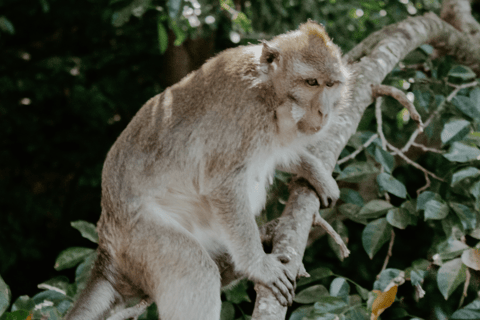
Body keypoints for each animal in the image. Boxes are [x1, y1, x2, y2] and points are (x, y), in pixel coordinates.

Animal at [64, 20, 348, 320]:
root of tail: (106, 247)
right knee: (195, 270)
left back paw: (264, 236)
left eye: (331, 84)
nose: (324, 112)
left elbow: (278, 152)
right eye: (311, 82)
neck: (269, 92)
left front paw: (316, 172)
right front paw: (259, 266)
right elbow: (222, 185)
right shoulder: (244, 116)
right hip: (139, 237)